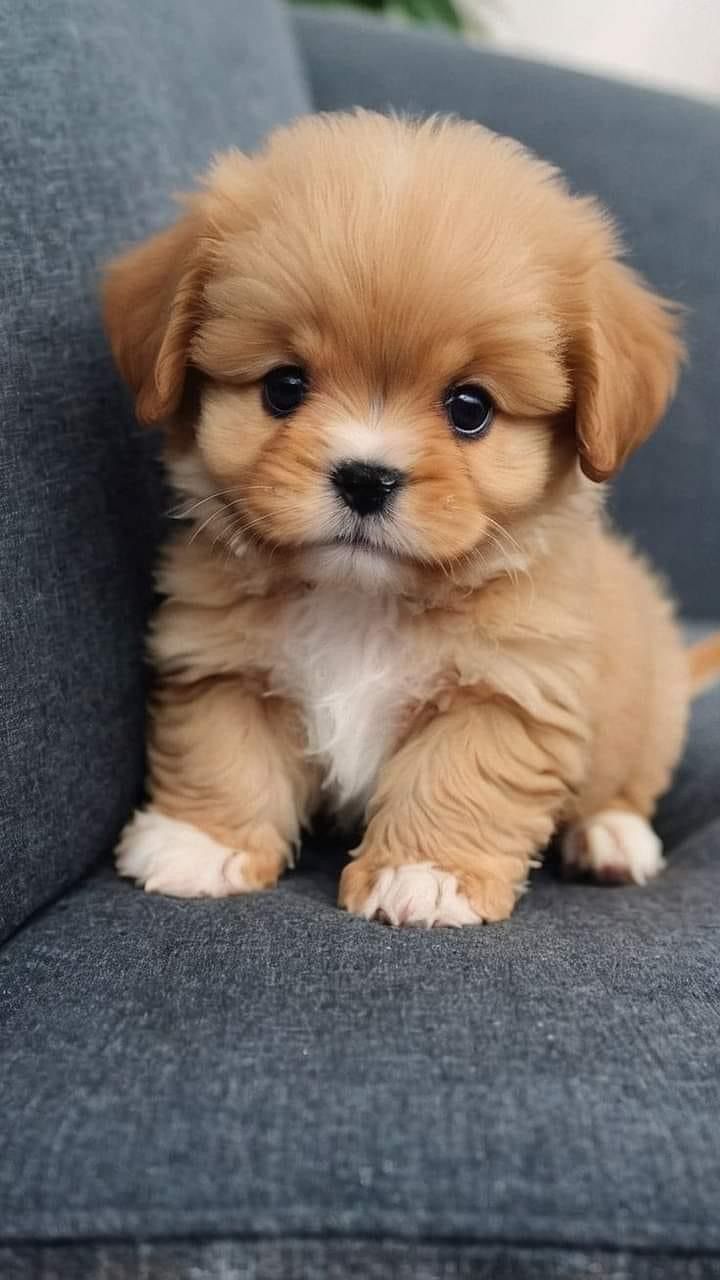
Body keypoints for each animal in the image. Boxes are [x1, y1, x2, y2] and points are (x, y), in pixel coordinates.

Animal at [103, 110, 686, 926]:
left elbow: (459, 775)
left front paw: (426, 873)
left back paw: (611, 837)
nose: (366, 477)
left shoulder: (510, 689)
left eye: (470, 408)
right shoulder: (223, 664)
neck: (361, 600)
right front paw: (200, 841)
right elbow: (223, 751)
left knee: (627, 785)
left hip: (650, 713)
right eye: (284, 387)